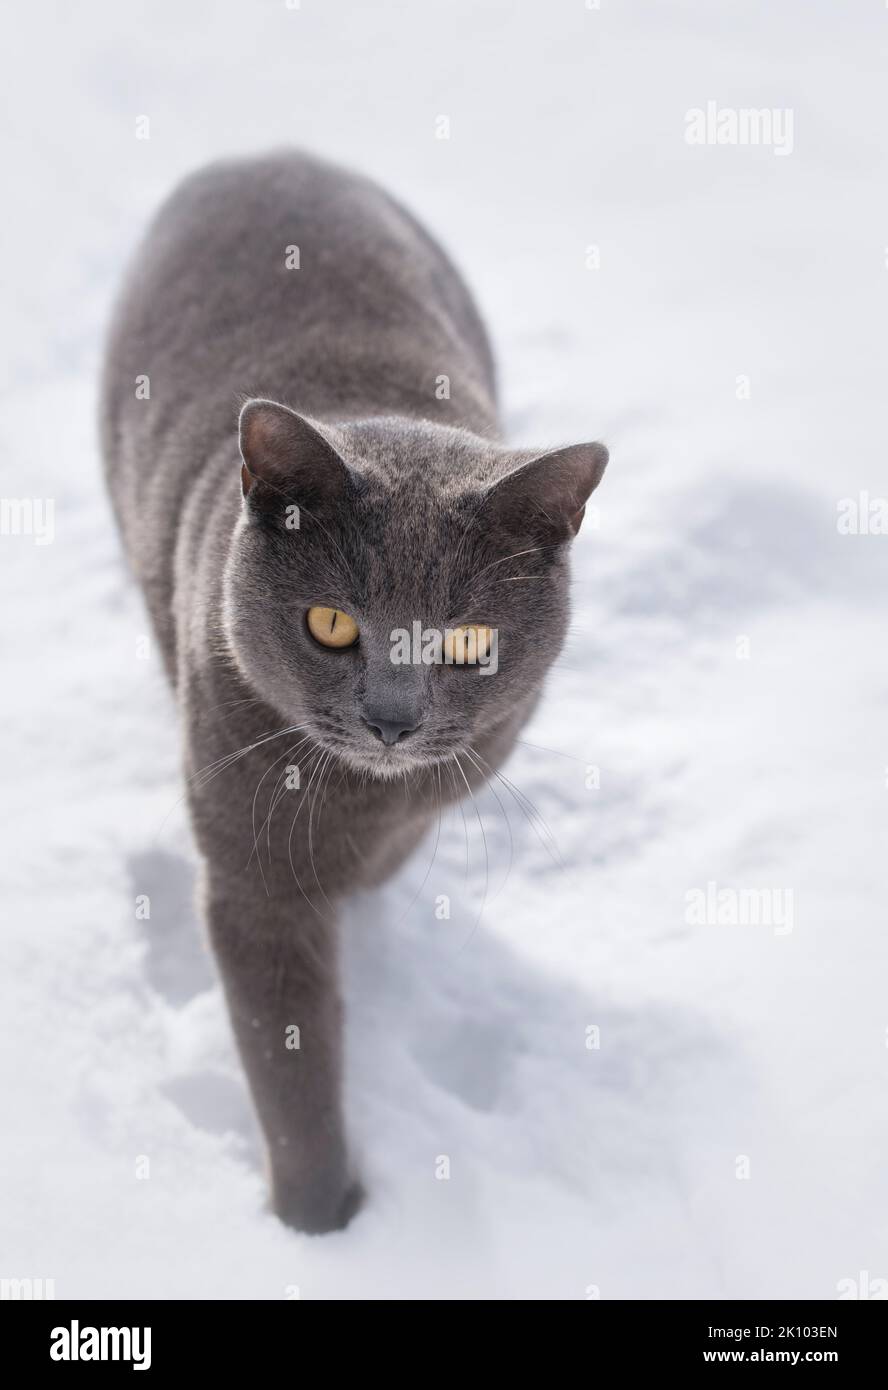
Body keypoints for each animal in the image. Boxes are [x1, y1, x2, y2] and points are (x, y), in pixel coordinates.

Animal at [100, 152, 608, 1234]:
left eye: (467, 641)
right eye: (332, 624)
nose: (391, 718)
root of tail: (263, 153)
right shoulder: (249, 874)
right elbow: (288, 1059)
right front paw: (320, 1222)